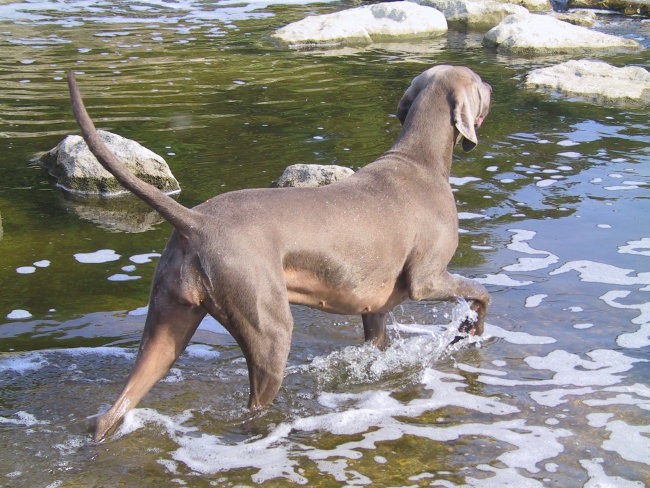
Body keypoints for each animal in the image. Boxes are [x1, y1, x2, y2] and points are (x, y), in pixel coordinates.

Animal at [67, 65, 492, 442]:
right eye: (478, 81)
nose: (490, 84)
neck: (419, 161)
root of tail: (195, 220)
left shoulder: (375, 310)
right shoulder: (426, 279)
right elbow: (481, 293)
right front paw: (467, 331)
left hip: (168, 322)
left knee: (113, 409)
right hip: (268, 329)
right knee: (255, 403)